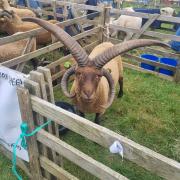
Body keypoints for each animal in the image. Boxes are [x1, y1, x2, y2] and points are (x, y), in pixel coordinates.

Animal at [22, 16, 169, 124]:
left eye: (99, 76)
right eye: (78, 74)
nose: (88, 94)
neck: (88, 105)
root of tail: (107, 42)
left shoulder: (101, 111)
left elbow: (97, 121)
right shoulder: (79, 109)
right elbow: (83, 118)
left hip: (121, 70)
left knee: (121, 81)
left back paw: (120, 94)